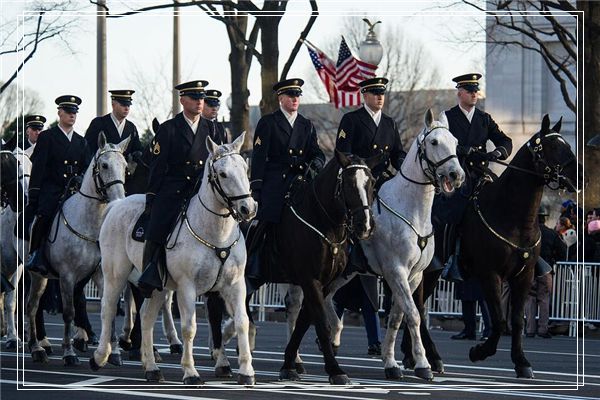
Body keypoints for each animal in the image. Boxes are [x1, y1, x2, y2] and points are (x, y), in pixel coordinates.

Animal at [26, 134, 130, 366]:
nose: (120, 199)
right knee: (31, 307)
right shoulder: (67, 276)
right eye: (104, 165)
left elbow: (109, 308)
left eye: (125, 166)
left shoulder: (101, 275)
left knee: (33, 306)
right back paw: (36, 347)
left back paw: (39, 346)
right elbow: (68, 312)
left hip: (40, 276)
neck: (88, 221)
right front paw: (69, 352)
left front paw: (114, 353)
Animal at [92, 134, 256, 384]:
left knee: (146, 317)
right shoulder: (187, 286)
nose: (248, 208)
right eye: (223, 174)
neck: (215, 233)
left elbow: (241, 322)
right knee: (108, 309)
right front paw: (190, 372)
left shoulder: (235, 285)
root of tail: (117, 204)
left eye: (245, 169)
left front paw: (246, 371)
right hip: (115, 274)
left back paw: (151, 367)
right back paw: (101, 355)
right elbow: (189, 327)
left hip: (158, 286)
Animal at [322, 110, 466, 382]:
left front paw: (391, 363)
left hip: (346, 273)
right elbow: (413, 314)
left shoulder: (414, 276)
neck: (411, 209)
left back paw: (333, 335)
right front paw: (422, 363)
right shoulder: (395, 271)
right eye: (434, 142)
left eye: (455, 142)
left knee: (326, 297)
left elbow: (398, 317)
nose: (457, 175)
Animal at [404, 115, 580, 378]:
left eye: (566, 144)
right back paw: (428, 358)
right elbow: (499, 320)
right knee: (415, 304)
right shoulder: (490, 275)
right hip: (427, 270)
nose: (580, 178)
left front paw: (521, 361)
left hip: (430, 272)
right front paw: (479, 351)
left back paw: (415, 356)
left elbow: (516, 320)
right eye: (552, 147)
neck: (513, 217)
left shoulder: (524, 276)